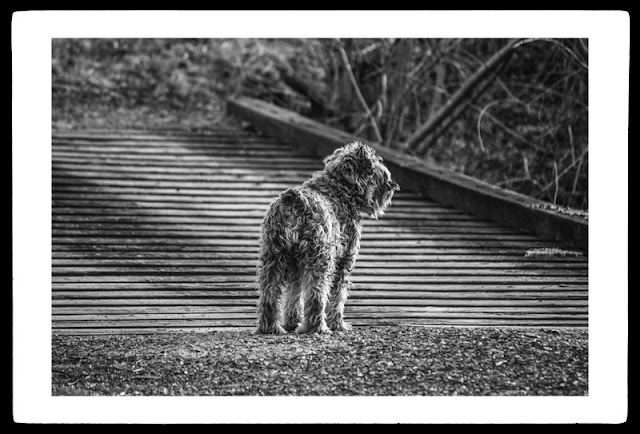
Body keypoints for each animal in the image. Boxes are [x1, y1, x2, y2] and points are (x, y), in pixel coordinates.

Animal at [255, 141, 399, 334]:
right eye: (376, 170)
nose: (392, 184)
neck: (339, 189)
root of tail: (294, 202)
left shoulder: (296, 267)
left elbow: (294, 294)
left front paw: (292, 322)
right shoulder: (344, 261)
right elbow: (337, 298)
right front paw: (338, 324)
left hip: (273, 258)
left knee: (269, 294)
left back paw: (270, 327)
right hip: (320, 260)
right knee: (316, 296)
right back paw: (318, 327)